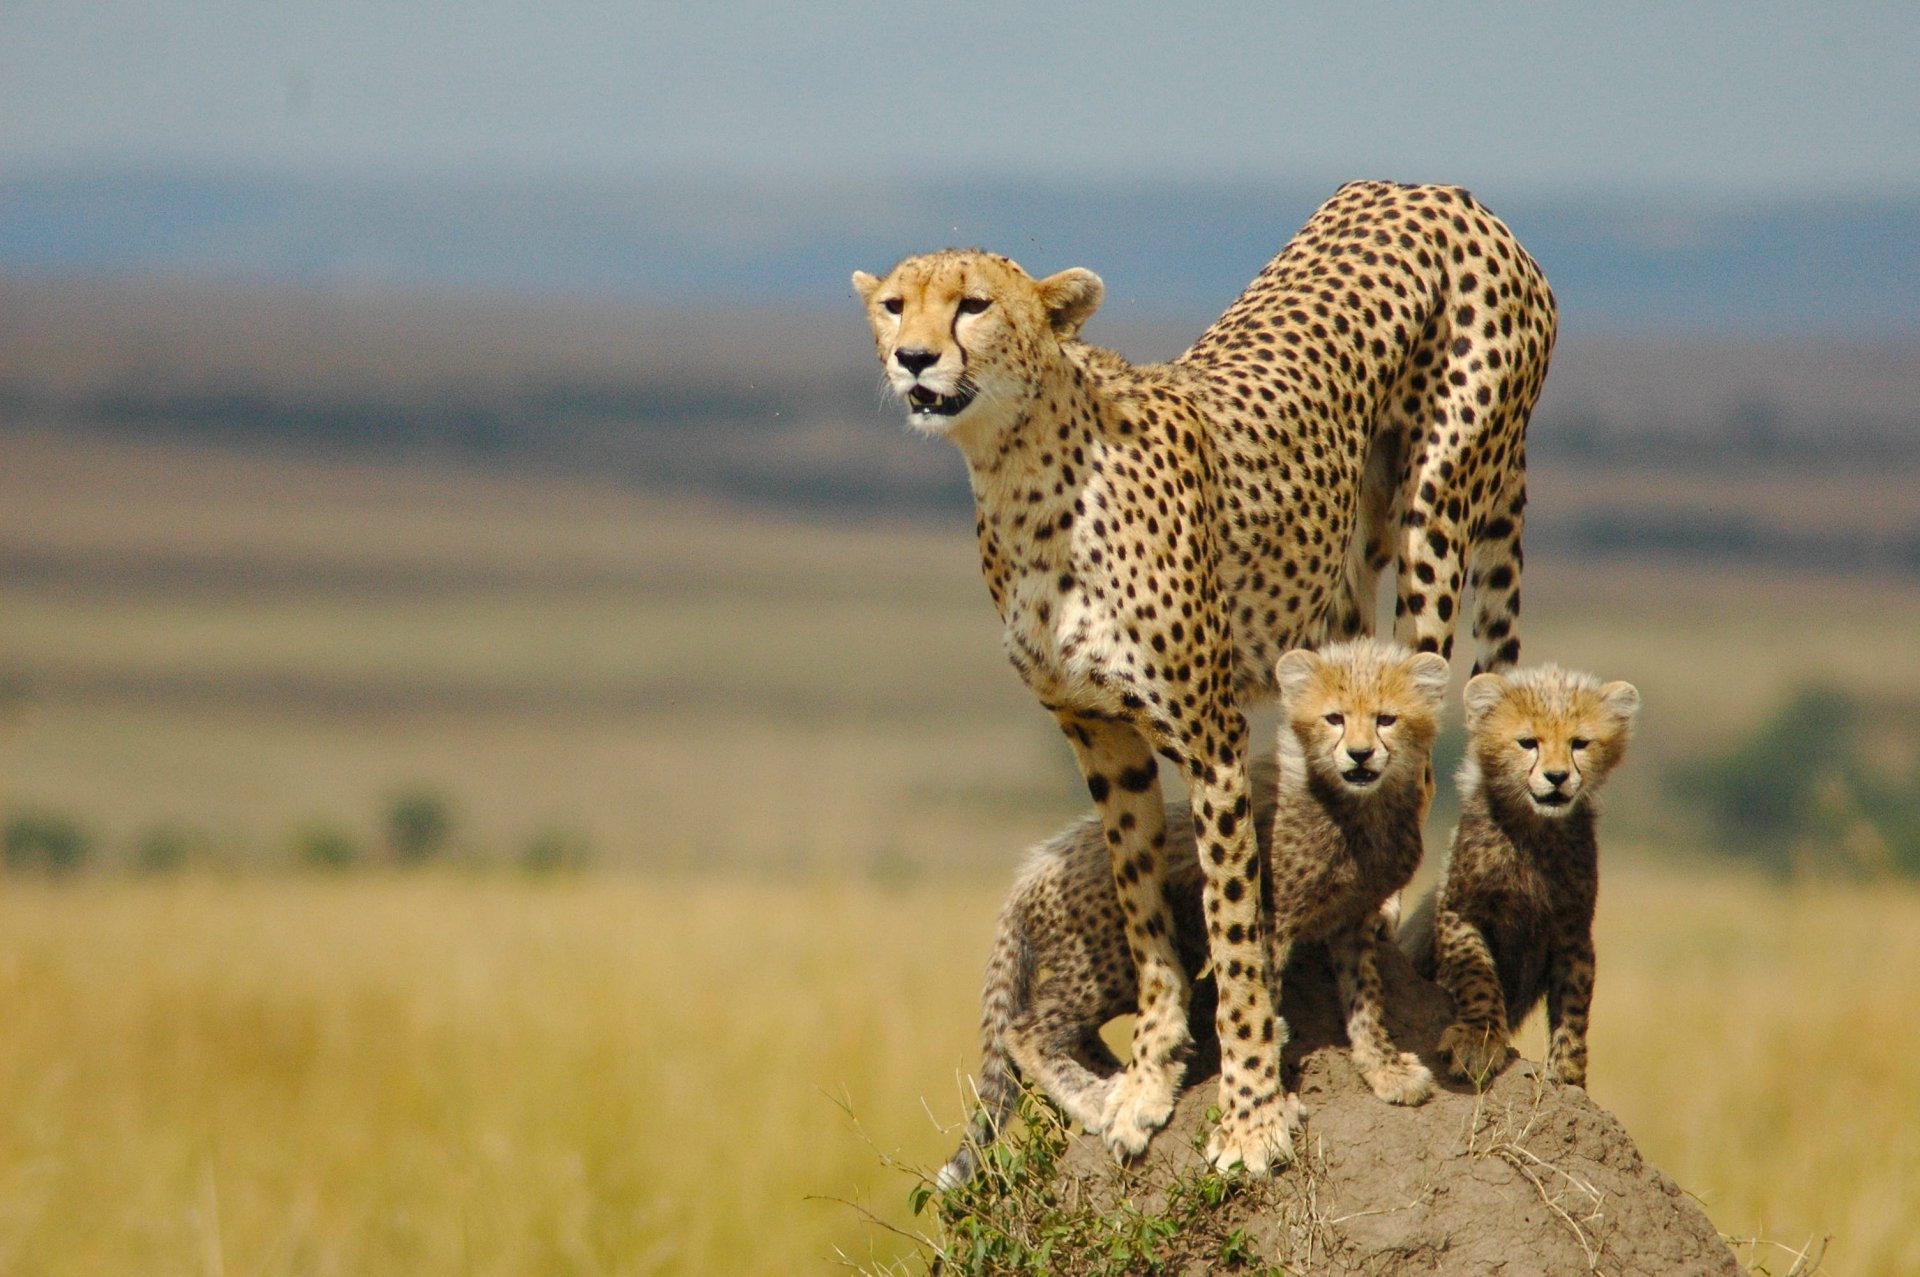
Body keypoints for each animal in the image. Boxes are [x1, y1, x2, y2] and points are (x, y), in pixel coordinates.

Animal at [936, 638, 1446, 1189]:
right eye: (1334, 718)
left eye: (1387, 719)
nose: (1360, 753)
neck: (1357, 807)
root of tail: (1034, 865)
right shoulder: (1273, 920)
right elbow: (1261, 1008)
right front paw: (1273, 1106)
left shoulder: (1355, 922)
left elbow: (1364, 1002)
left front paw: (1385, 1070)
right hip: (1112, 961)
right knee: (1025, 1030)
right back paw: (1099, 1100)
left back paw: (1133, 1079)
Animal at [1399, 664, 1641, 1090]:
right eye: (1528, 743)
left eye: (1580, 743)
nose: (1557, 777)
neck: (1534, 831)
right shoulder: (1459, 911)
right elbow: (1477, 975)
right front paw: (1478, 1042)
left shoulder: (1573, 932)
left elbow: (1574, 1005)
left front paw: (1568, 1073)